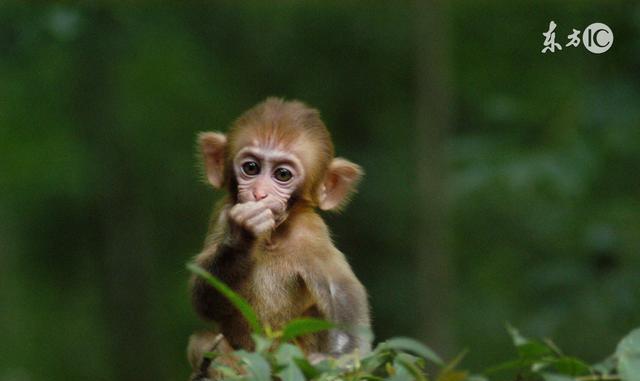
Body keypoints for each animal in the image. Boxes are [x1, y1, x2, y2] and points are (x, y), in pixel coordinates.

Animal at [188, 97, 370, 378]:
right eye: (251, 168)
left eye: (282, 174)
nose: (259, 193)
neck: (272, 237)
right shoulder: (221, 215)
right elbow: (206, 299)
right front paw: (241, 236)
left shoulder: (311, 233)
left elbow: (341, 292)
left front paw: (339, 359)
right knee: (203, 342)